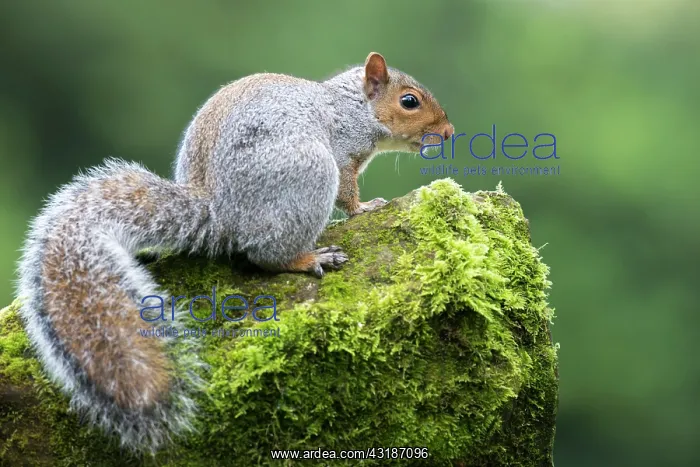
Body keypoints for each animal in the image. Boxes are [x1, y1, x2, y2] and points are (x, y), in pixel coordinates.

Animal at [15, 52, 454, 453]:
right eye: (409, 101)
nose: (449, 132)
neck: (353, 105)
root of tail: (219, 214)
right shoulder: (344, 152)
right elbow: (348, 194)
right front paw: (365, 208)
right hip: (309, 172)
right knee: (266, 256)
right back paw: (310, 258)